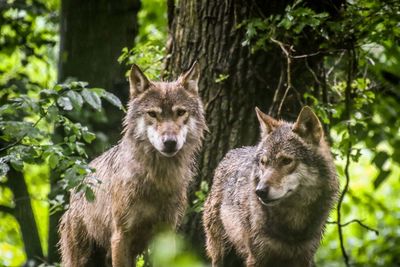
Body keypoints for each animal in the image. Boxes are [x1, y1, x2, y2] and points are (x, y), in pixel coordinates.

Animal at [61, 62, 208, 267]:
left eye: (180, 112)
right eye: (152, 114)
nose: (170, 142)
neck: (157, 179)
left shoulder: (165, 236)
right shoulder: (120, 236)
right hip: (82, 258)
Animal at [205, 107, 340, 267]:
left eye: (286, 161)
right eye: (264, 162)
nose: (260, 191)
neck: (293, 225)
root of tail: (233, 151)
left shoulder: (304, 258)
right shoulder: (257, 258)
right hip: (221, 254)